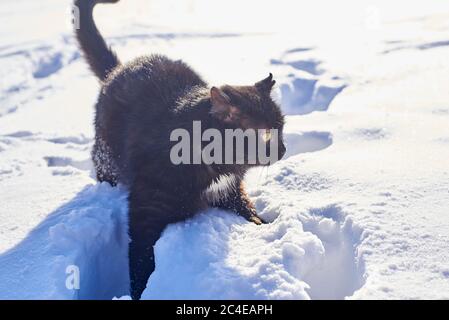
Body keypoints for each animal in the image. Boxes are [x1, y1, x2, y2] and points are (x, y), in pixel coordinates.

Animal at [72, 0, 284, 300]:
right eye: (265, 133)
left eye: (282, 127)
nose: (284, 148)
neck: (214, 165)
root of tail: (120, 69)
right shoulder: (146, 210)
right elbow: (142, 258)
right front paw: (142, 292)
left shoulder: (230, 191)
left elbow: (249, 211)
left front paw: (262, 227)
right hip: (107, 158)